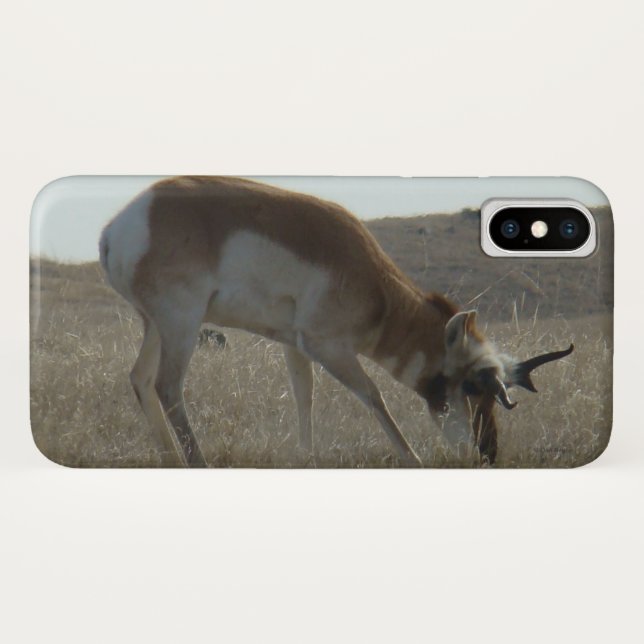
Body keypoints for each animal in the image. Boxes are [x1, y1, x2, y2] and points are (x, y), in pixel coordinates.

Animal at [99, 176, 573, 467]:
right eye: (474, 387)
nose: (489, 454)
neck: (374, 285)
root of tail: (123, 222)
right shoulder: (329, 347)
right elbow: (374, 396)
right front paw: (414, 459)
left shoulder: (293, 345)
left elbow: (303, 395)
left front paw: (306, 457)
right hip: (181, 324)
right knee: (167, 386)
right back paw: (196, 461)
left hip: (156, 325)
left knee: (140, 379)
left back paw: (169, 459)